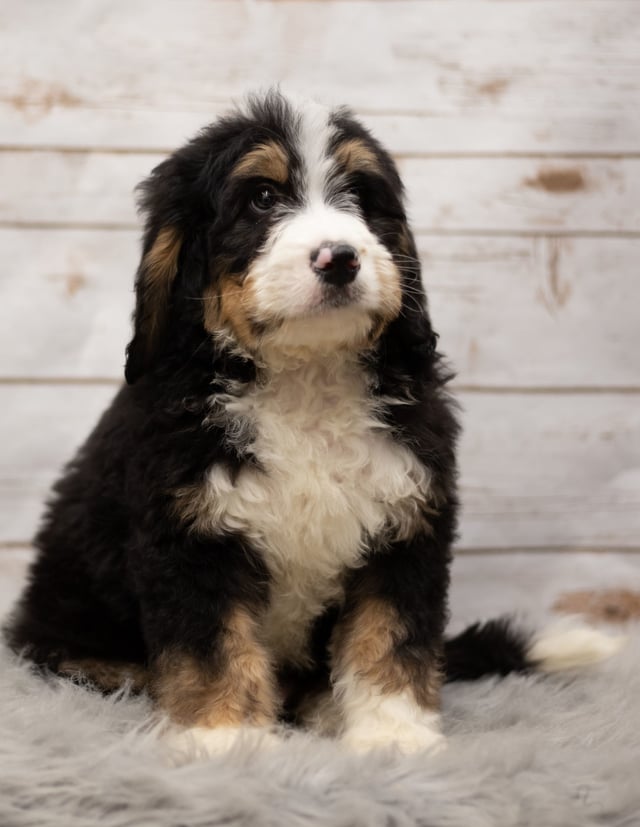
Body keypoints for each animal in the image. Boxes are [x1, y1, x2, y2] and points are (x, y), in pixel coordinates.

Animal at [2, 90, 616, 756]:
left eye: (360, 197)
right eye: (262, 198)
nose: (340, 258)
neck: (304, 375)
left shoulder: (405, 523)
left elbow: (390, 633)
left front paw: (392, 733)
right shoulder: (190, 534)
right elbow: (212, 643)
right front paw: (226, 737)